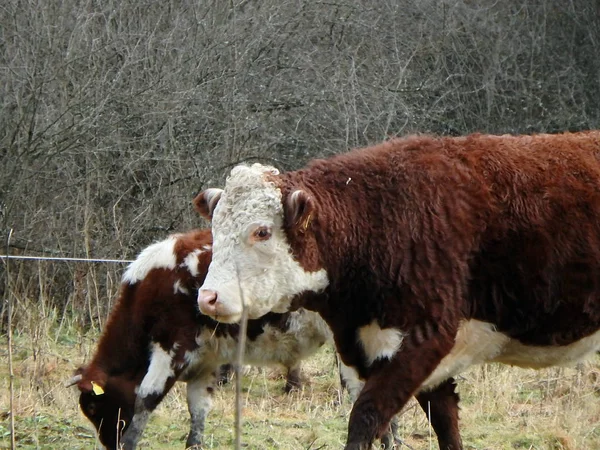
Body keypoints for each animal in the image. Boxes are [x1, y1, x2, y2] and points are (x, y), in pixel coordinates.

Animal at [68, 230, 336, 450]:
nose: (108, 444)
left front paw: (128, 442)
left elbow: (146, 398)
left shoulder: (172, 347)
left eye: (92, 407)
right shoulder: (207, 362)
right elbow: (199, 407)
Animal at [193, 131, 600, 450]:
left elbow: (366, 419)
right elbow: (444, 424)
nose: (207, 297)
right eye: (215, 227)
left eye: (262, 231)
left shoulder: (423, 342)